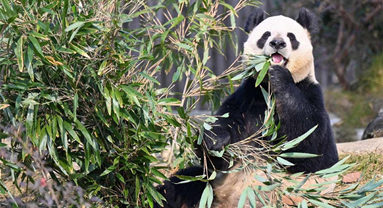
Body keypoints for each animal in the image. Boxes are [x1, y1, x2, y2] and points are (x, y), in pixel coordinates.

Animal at [153, 7, 340, 207]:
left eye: (291, 36)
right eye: (266, 35)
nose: (278, 43)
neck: (268, 90)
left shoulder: (310, 92)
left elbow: (310, 147)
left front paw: (280, 76)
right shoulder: (248, 97)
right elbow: (221, 147)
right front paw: (214, 140)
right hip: (211, 187)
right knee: (179, 186)